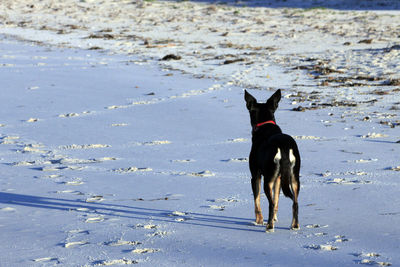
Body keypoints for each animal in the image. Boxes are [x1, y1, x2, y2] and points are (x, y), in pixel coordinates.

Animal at [244, 90, 300, 232]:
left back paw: (269, 226)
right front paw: (274, 218)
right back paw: (295, 225)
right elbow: (277, 200)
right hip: (294, 178)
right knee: (295, 203)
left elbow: (257, 201)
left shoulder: (255, 176)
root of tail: (283, 147)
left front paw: (259, 220)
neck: (266, 125)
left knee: (270, 203)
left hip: (268, 180)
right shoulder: (279, 178)